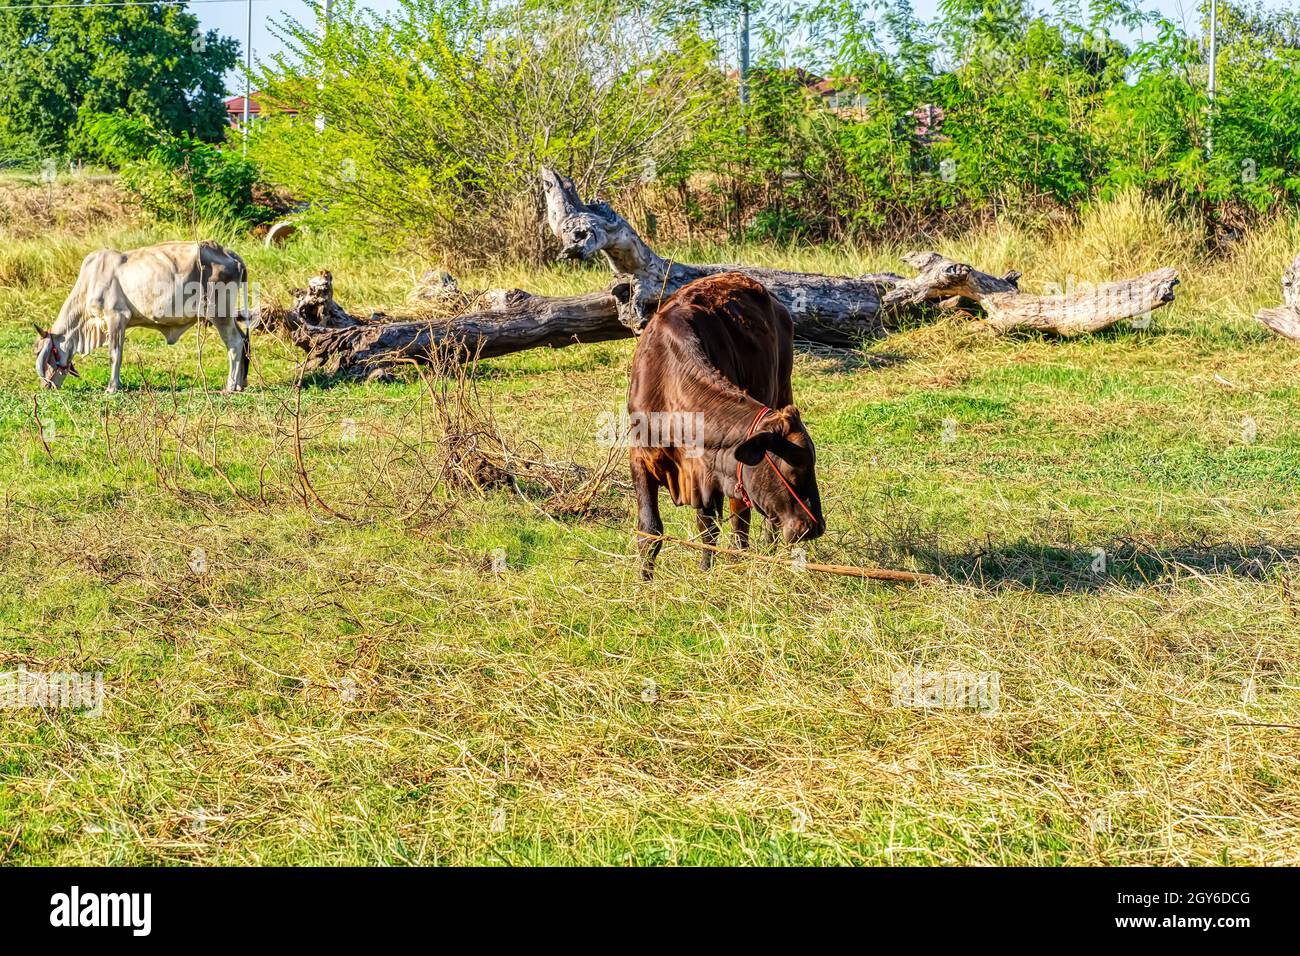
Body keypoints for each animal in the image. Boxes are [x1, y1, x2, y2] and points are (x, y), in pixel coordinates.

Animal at [33, 241, 251, 393]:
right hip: (228, 316)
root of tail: (230, 255)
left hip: (219, 313)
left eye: (41, 353)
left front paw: (112, 387)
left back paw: (230, 386)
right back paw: (240, 384)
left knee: (234, 344)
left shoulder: (116, 317)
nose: (46, 386)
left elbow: (115, 355)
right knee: (244, 340)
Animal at [626, 271, 825, 578]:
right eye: (793, 471)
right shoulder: (640, 458)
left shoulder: (712, 475)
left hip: (782, 392)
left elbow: (714, 527)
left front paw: (713, 571)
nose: (816, 526)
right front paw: (644, 581)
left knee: (751, 521)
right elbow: (649, 531)